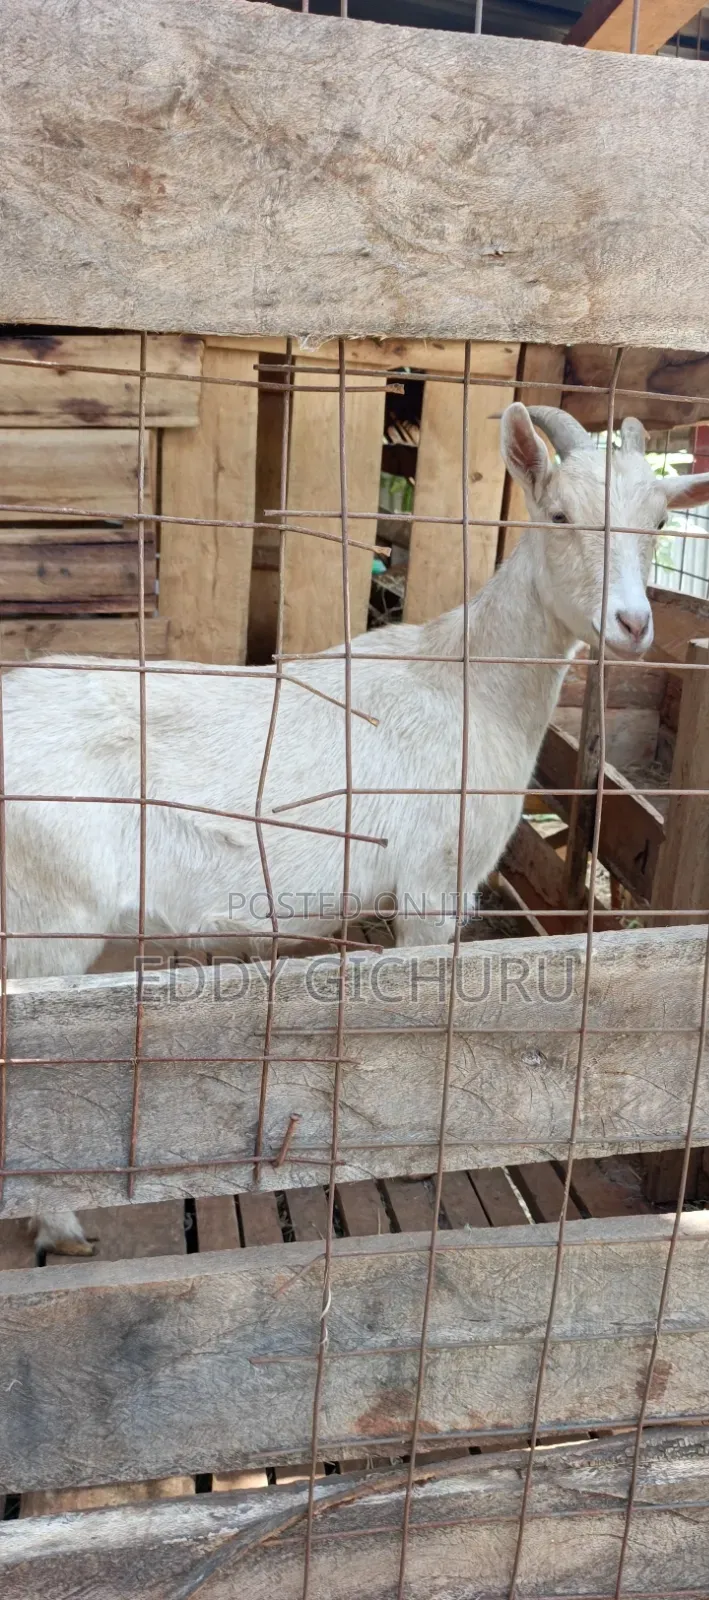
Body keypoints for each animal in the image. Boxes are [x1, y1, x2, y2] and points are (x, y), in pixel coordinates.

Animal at [8, 403, 709, 1256]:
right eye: (558, 515)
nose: (633, 623)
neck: (470, 683)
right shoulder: (436, 881)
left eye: (658, 521)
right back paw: (61, 1228)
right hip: (47, 919)